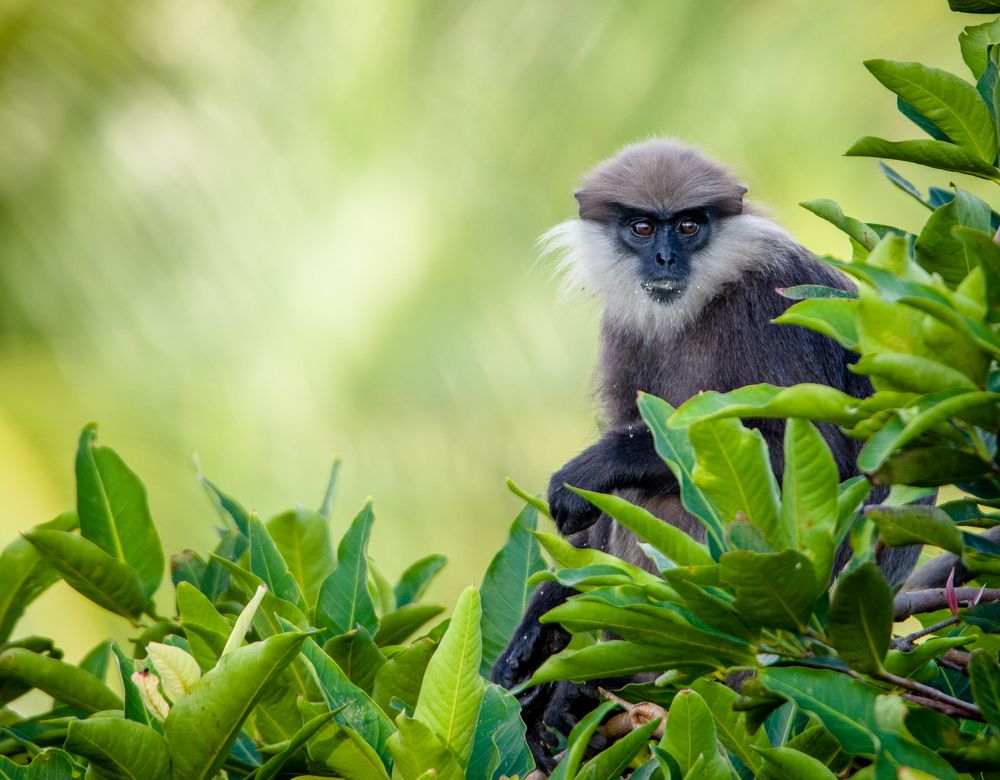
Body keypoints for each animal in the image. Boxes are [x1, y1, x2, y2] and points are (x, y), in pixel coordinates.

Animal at [492, 139, 922, 769]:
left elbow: (826, 459)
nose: (666, 258)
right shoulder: (624, 328)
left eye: (690, 225)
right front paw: (538, 628)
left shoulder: (775, 304)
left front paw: (597, 465)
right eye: (643, 227)